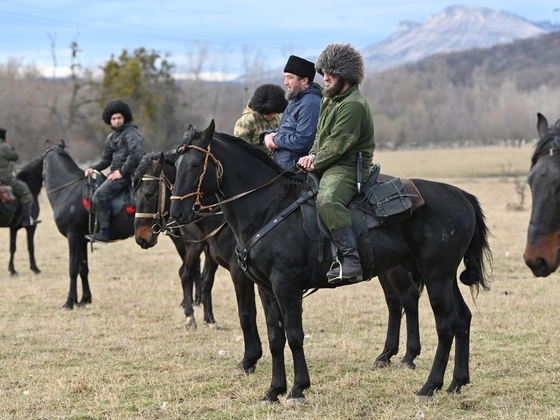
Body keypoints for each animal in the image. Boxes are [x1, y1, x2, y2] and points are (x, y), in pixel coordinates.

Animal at [137, 148, 428, 374]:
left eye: (149, 192)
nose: (142, 237)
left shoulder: (242, 274)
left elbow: (247, 315)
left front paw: (248, 360)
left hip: (395, 268)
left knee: (408, 298)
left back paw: (407, 356)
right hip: (386, 267)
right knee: (394, 302)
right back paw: (386, 355)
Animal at [170, 121, 490, 404]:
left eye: (195, 165)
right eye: (176, 163)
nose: (177, 213)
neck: (268, 207)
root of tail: (461, 195)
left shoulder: (286, 286)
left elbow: (294, 335)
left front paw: (297, 389)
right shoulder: (265, 289)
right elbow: (275, 337)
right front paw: (274, 390)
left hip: (435, 276)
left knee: (445, 324)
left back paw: (429, 386)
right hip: (445, 277)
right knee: (462, 319)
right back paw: (456, 383)